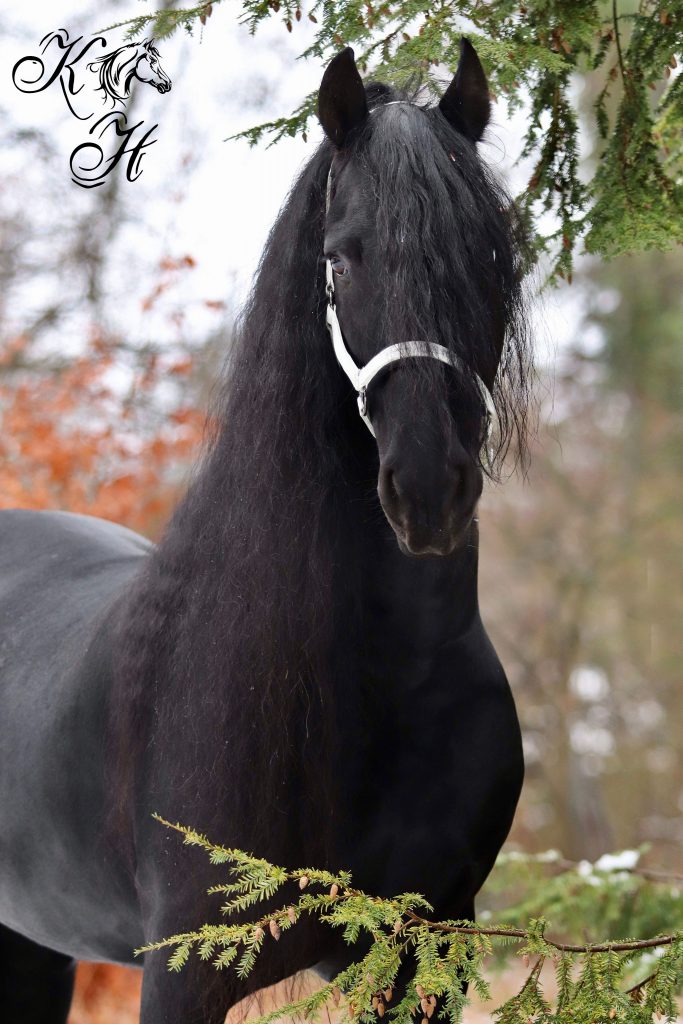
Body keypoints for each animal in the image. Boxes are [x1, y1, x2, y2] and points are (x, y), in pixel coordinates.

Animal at [0, 39, 532, 1024]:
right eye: (340, 260)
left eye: (489, 253)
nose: (427, 487)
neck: (385, 676)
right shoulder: (184, 971)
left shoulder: (426, 952)